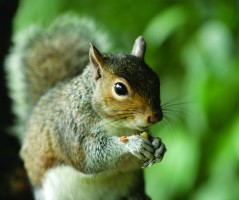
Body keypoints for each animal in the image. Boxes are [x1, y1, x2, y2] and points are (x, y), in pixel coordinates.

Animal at [5, 14, 166, 200]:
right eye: (120, 88)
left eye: (156, 79)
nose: (155, 116)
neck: (118, 125)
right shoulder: (71, 130)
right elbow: (91, 157)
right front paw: (133, 144)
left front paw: (159, 146)